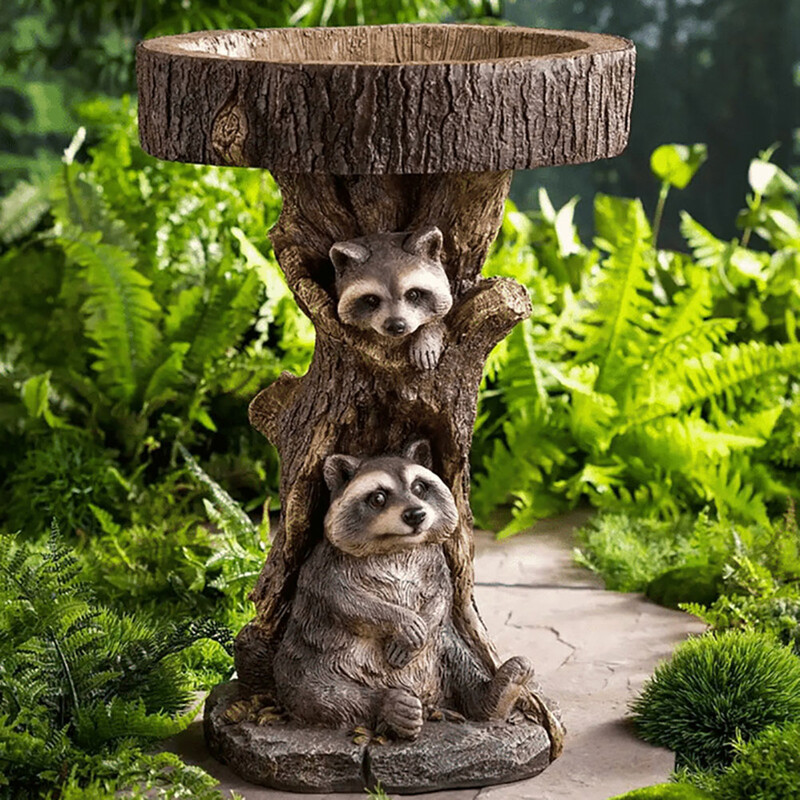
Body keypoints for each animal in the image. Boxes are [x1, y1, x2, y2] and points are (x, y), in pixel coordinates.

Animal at [272, 441, 532, 740]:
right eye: (378, 498)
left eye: (419, 487)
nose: (415, 514)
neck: (396, 547)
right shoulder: (324, 565)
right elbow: (347, 602)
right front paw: (402, 621)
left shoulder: (436, 561)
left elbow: (442, 596)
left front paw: (422, 623)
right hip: (304, 659)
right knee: (317, 693)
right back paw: (392, 707)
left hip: (441, 649)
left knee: (460, 660)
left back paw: (497, 692)